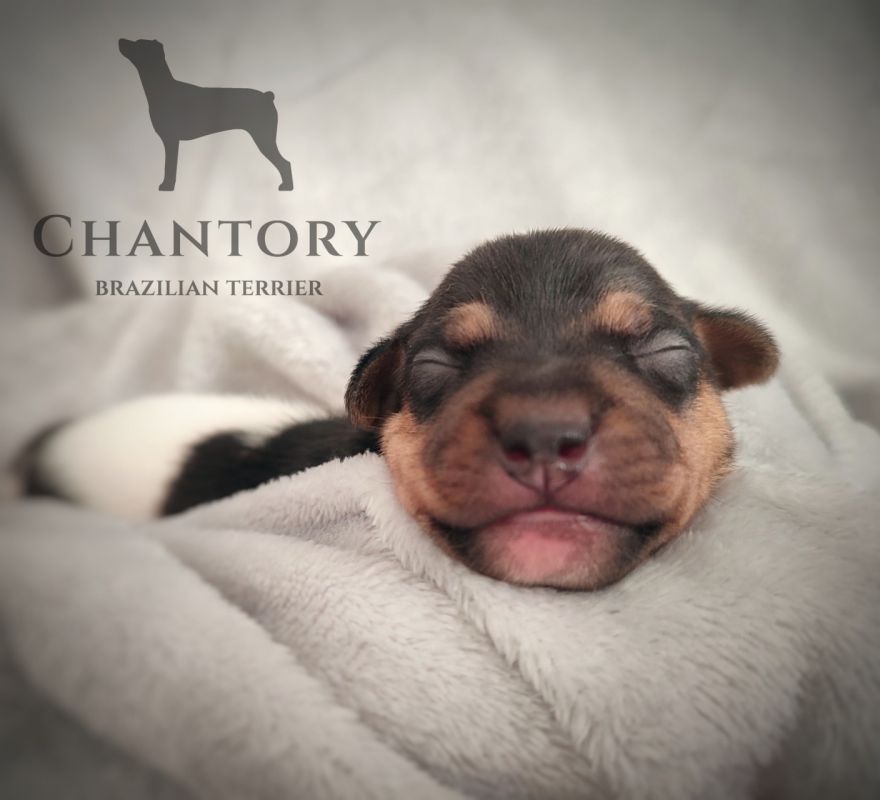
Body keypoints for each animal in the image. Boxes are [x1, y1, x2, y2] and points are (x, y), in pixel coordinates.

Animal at [118, 38, 294, 191]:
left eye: (139, 43)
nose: (120, 39)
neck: (162, 87)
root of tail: (266, 96)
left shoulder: (171, 139)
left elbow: (169, 166)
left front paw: (167, 186)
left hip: (264, 137)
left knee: (285, 163)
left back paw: (287, 187)